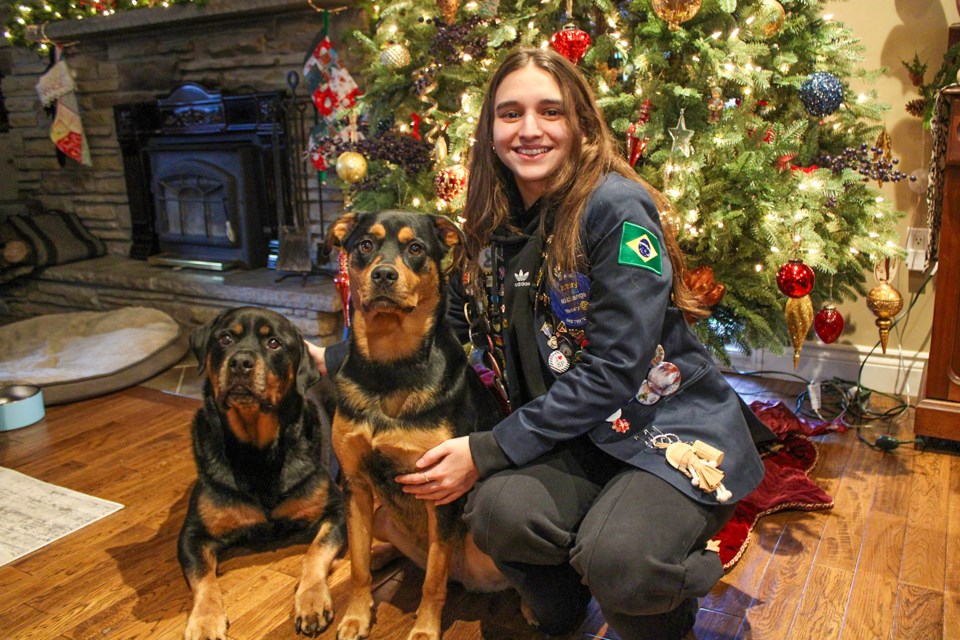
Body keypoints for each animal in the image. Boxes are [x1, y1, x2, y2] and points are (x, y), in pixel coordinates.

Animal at [180, 308, 344, 636]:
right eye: (225, 338)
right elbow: (203, 578)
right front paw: (204, 620)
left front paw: (312, 601)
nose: (241, 362)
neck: (257, 450)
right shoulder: (192, 533)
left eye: (274, 343)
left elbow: (315, 552)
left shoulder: (336, 510)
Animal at [328, 210, 510, 640]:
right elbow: (356, 567)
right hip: (380, 515)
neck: (389, 365)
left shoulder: (440, 489)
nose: (383, 275)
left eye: (415, 248)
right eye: (365, 245)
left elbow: (433, 581)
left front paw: (425, 629)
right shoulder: (356, 486)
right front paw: (356, 617)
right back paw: (380, 555)